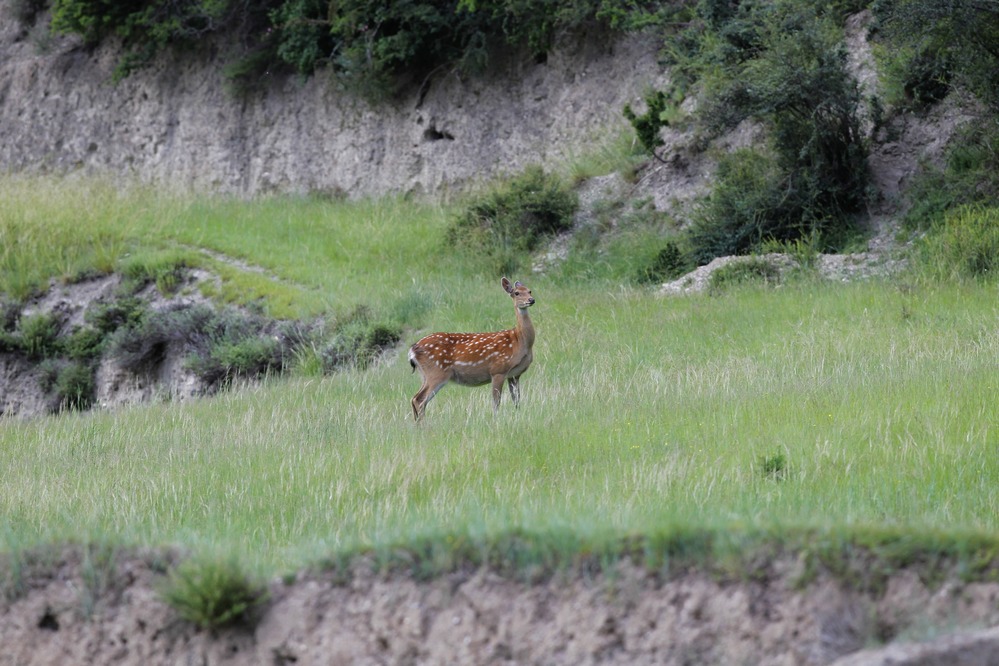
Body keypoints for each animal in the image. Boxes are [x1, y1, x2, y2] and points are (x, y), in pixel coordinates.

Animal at [406, 276, 536, 420]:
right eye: (517, 293)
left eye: (529, 290)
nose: (531, 300)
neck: (519, 341)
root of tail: (412, 350)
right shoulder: (498, 370)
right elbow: (496, 402)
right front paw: (495, 420)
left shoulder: (514, 374)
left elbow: (517, 400)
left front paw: (518, 416)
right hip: (436, 372)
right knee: (419, 400)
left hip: (425, 374)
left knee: (415, 399)